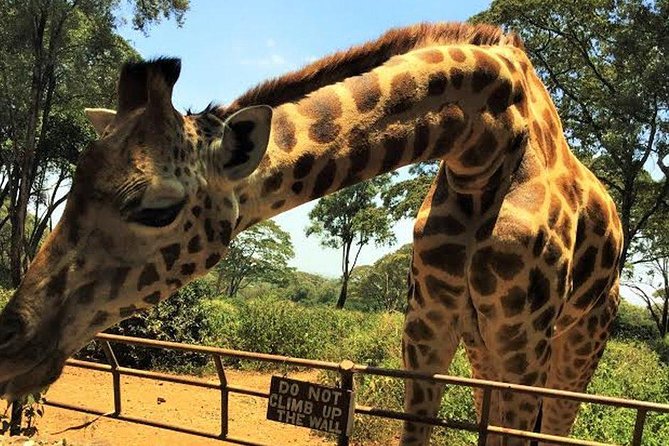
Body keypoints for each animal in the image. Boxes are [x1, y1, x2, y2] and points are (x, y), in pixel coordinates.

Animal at [0, 23, 622, 445]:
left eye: (157, 209)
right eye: (74, 185)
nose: (10, 347)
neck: (483, 150)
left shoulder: (524, 356)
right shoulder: (426, 334)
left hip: (570, 349)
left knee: (559, 423)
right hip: (484, 348)